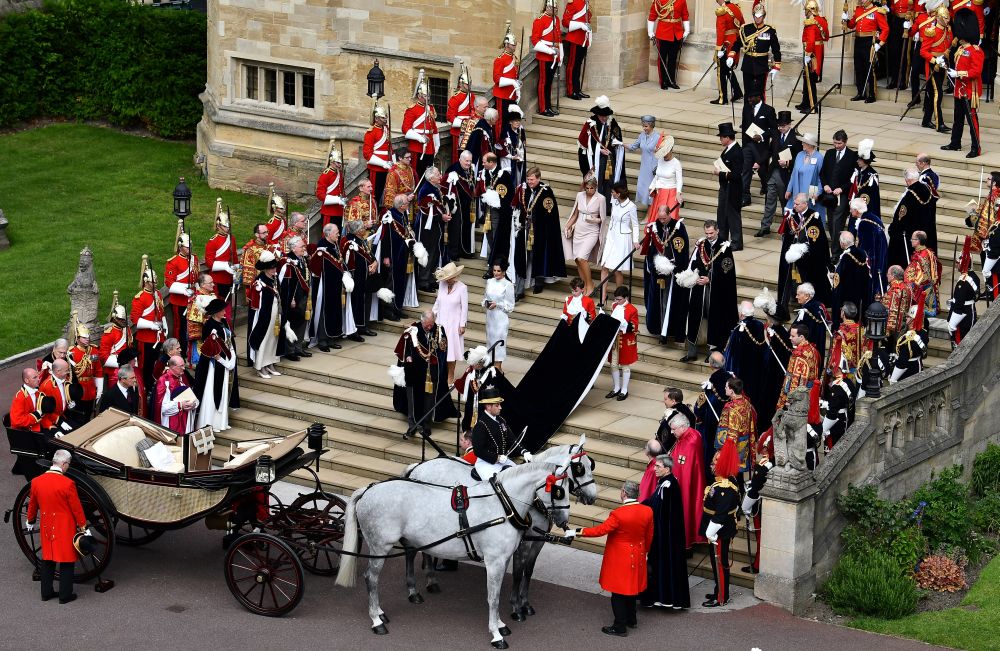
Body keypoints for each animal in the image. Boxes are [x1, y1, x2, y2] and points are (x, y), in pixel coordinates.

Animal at [336, 460, 572, 648]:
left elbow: (498, 592)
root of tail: (368, 489)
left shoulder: (503, 560)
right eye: (559, 491)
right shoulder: (494, 562)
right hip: (379, 546)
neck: (503, 506)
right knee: (371, 578)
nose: (563, 521)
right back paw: (376, 620)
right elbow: (493, 597)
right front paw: (496, 634)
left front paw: (501, 624)